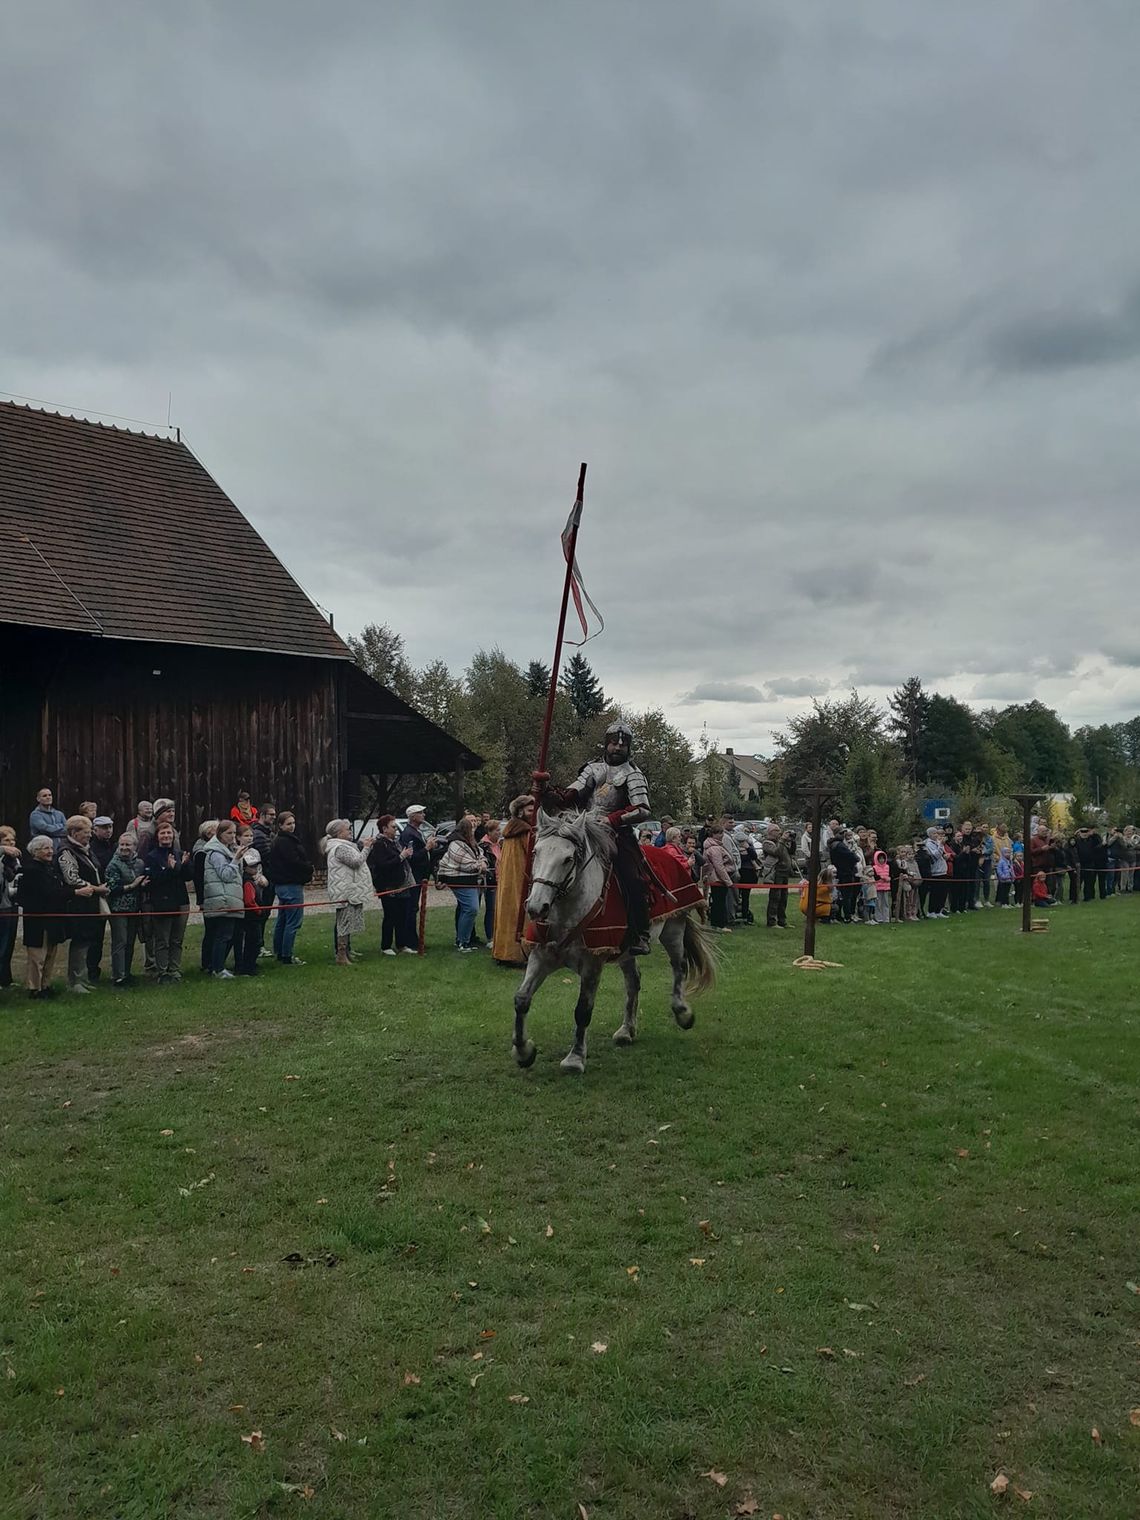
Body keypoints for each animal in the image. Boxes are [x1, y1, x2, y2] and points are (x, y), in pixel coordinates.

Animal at [516, 814, 717, 1076]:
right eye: (536, 852)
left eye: (567, 859)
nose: (536, 907)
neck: (568, 913)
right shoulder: (541, 956)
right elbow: (521, 999)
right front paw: (523, 1051)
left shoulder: (592, 963)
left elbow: (582, 1010)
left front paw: (575, 1058)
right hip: (626, 950)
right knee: (633, 980)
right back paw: (626, 1030)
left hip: (673, 927)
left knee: (678, 966)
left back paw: (682, 1013)